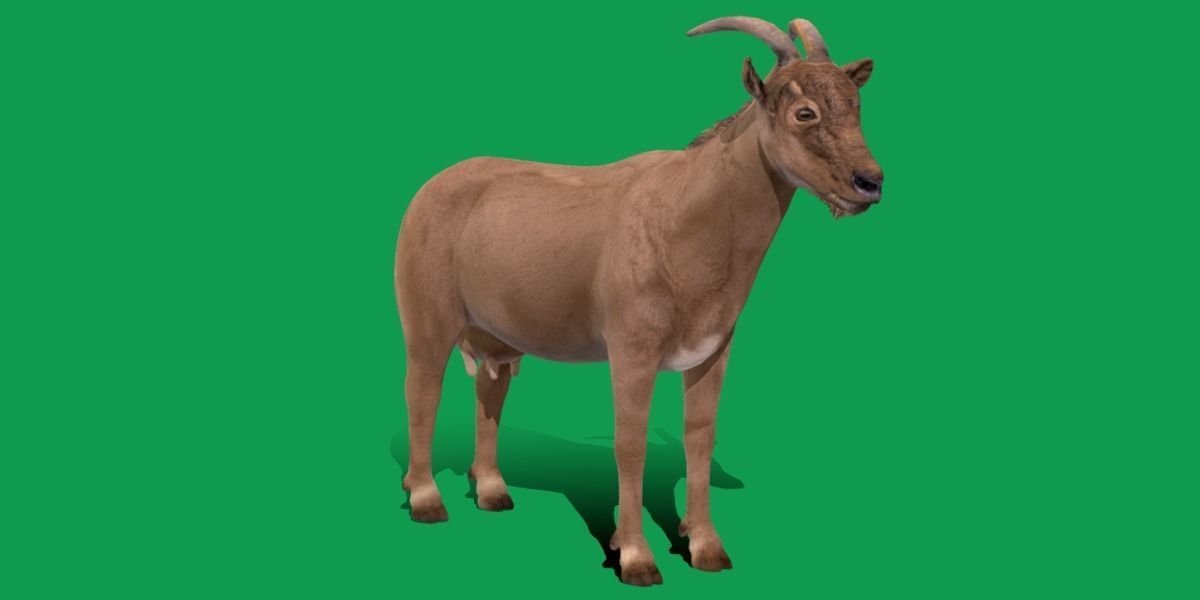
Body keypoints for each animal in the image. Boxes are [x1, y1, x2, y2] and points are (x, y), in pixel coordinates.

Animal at [394, 16, 883, 585]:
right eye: (804, 112)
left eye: (855, 103)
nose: (869, 183)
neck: (686, 216)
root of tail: (428, 189)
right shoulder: (632, 349)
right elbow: (630, 444)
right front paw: (635, 556)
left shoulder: (713, 350)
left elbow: (699, 436)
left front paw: (706, 547)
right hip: (427, 318)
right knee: (422, 391)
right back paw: (427, 499)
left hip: (495, 333)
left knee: (491, 391)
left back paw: (493, 491)